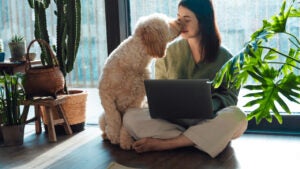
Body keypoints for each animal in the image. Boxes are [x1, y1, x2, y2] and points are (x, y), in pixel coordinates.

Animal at [99, 13, 182, 151]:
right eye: (168, 24)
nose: (180, 21)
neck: (133, 63)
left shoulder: (137, 100)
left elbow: (126, 122)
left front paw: (125, 140)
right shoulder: (106, 94)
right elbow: (113, 116)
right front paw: (114, 135)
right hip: (101, 117)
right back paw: (106, 134)